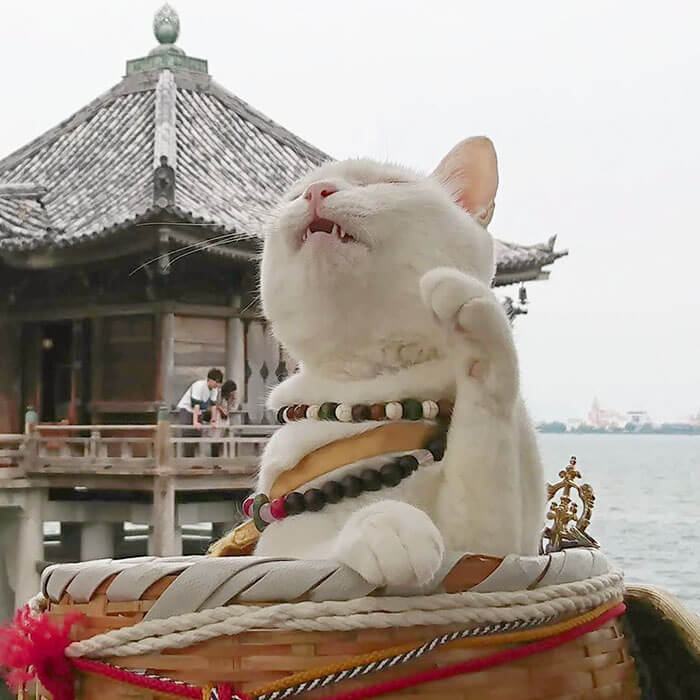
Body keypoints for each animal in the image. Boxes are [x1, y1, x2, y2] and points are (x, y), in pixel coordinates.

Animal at [249, 135, 544, 584]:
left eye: (387, 183)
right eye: (294, 194)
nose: (317, 191)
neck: (377, 388)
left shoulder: (494, 547)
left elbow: (488, 419)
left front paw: (467, 308)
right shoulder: (279, 551)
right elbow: (317, 549)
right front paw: (388, 526)